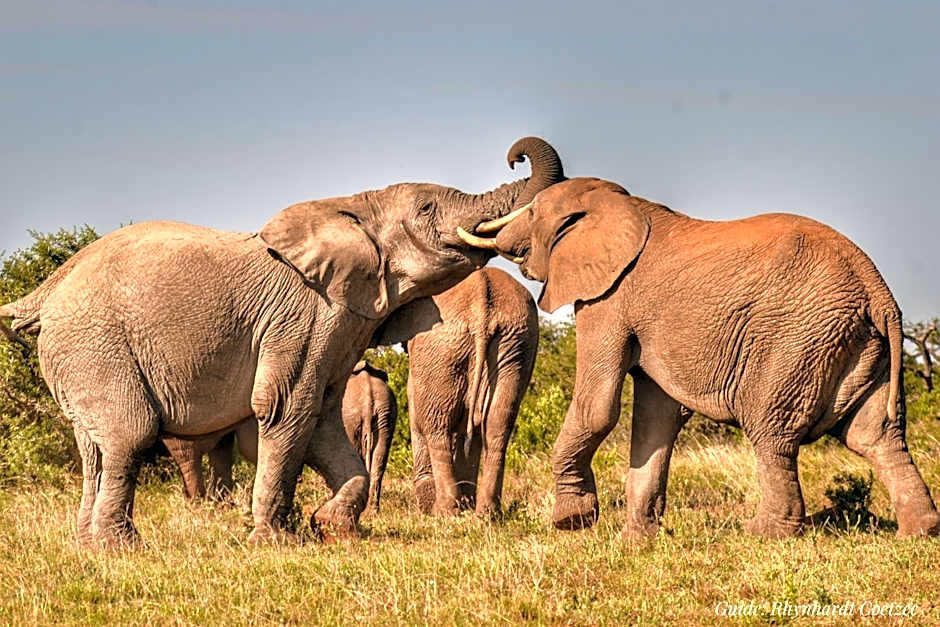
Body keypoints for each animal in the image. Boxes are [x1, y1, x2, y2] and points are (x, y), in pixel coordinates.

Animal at [407, 267, 538, 518]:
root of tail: (481, 305)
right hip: (515, 345)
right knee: (497, 425)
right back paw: (487, 513)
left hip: (442, 348)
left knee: (435, 424)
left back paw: (445, 511)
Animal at [458, 176, 940, 539]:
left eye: (533, 212)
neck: (619, 204)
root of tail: (875, 286)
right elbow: (657, 418)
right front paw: (638, 540)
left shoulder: (608, 300)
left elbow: (598, 406)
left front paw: (570, 522)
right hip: (857, 344)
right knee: (874, 436)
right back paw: (920, 531)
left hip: (798, 338)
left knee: (772, 431)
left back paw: (762, 534)